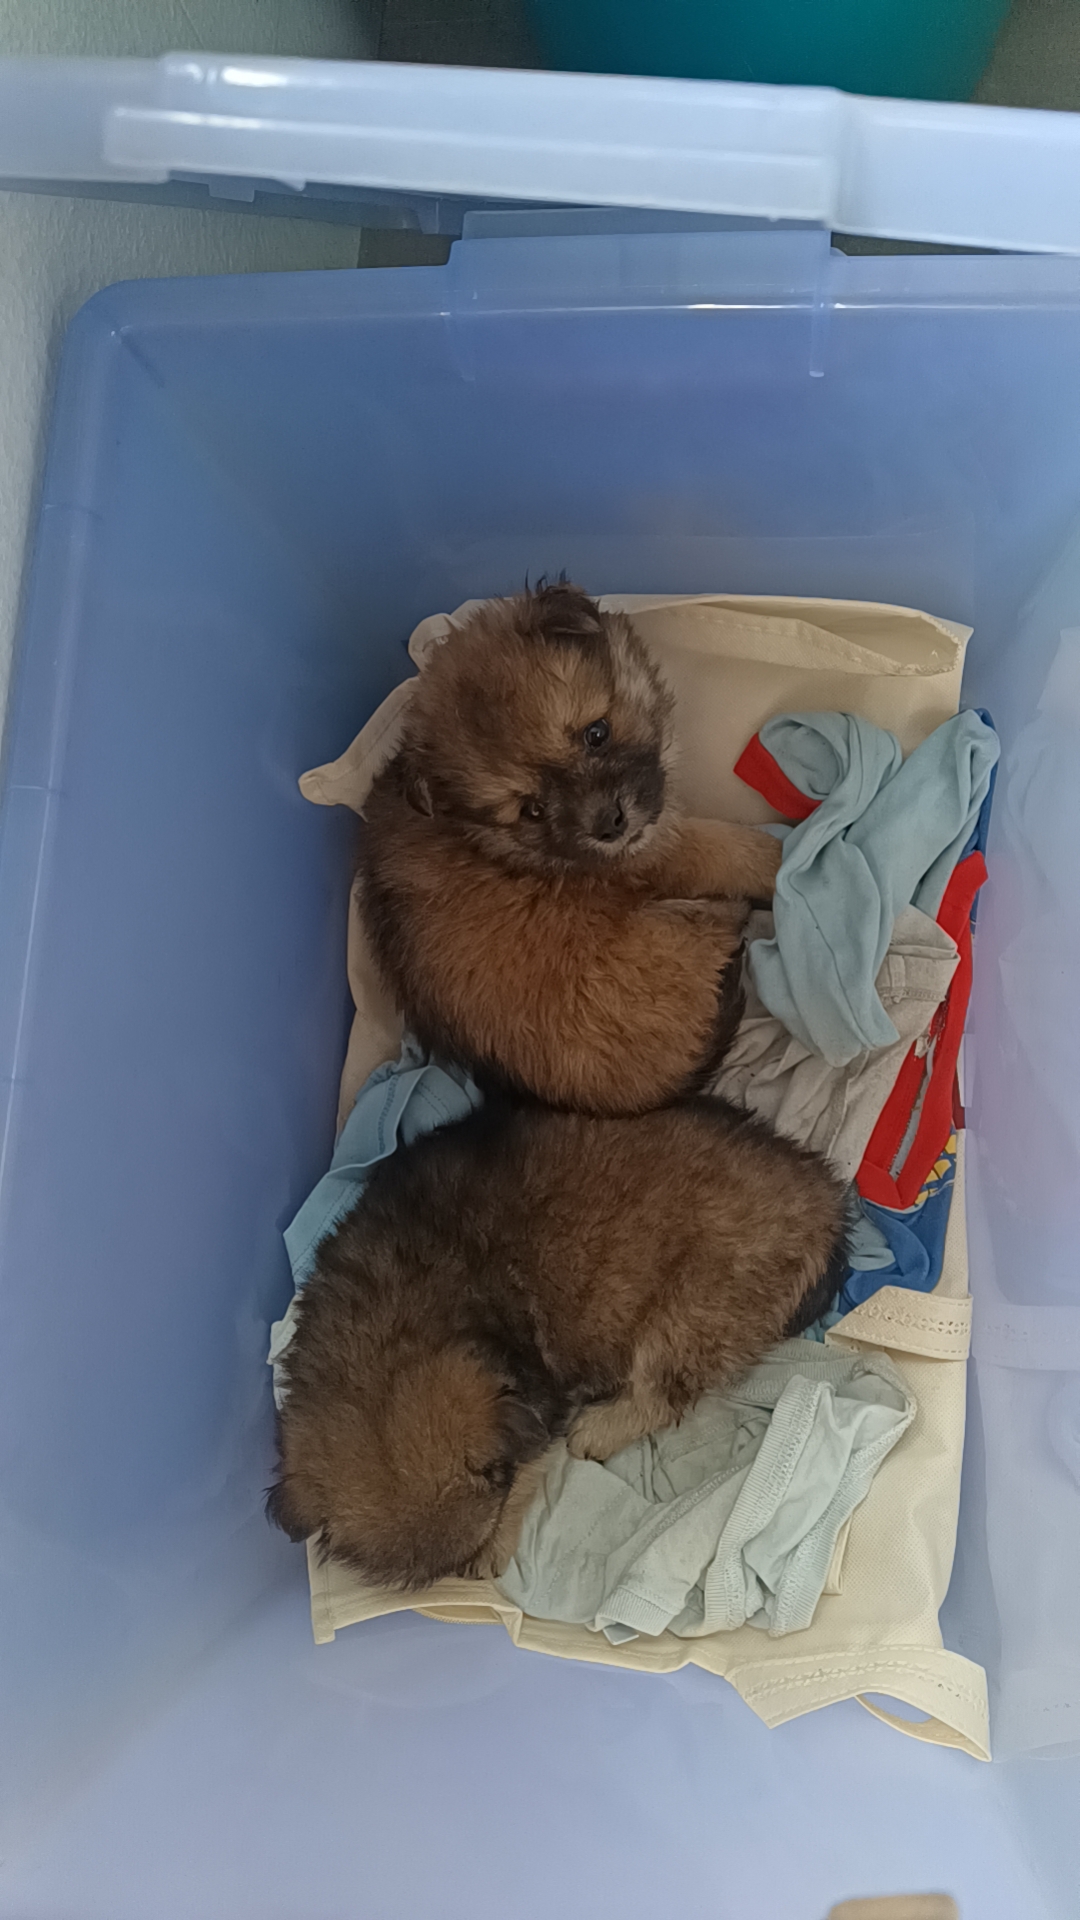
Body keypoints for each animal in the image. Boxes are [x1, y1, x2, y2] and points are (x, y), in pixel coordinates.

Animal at [267, 1097, 849, 1591]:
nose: (465, 1576)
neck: (392, 1333)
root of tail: (826, 1206)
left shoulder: (537, 1403)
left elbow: (530, 1467)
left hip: (691, 1310)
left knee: (659, 1395)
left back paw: (597, 1430)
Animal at [360, 583, 782, 1114]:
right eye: (533, 810)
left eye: (596, 733)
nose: (610, 825)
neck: (495, 843)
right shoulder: (665, 850)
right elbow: (734, 850)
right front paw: (787, 855)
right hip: (679, 931)